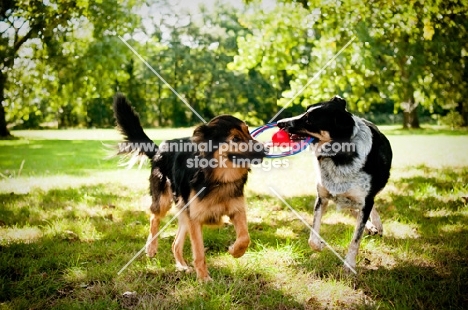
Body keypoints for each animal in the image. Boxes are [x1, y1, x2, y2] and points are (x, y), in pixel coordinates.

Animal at [112, 94, 266, 280]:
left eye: (248, 132)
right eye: (235, 139)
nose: (265, 150)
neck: (217, 178)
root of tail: (158, 151)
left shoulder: (236, 209)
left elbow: (245, 237)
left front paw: (235, 251)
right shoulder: (196, 218)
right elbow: (199, 252)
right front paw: (204, 278)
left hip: (184, 211)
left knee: (175, 243)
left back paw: (182, 266)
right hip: (164, 200)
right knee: (154, 218)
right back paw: (151, 248)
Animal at [278, 95, 392, 272]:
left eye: (309, 119)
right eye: (305, 111)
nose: (279, 123)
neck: (338, 156)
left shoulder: (365, 200)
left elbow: (355, 240)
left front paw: (349, 265)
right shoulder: (322, 198)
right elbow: (312, 237)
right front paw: (320, 245)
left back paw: (376, 225)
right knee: (353, 208)